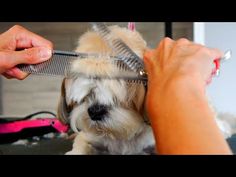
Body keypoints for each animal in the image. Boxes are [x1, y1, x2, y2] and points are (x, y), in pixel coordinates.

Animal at [57, 24, 236, 154]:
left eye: (118, 94)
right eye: (87, 93)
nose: (95, 111)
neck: (124, 136)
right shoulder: (89, 139)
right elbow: (80, 146)